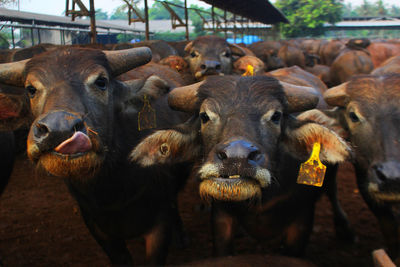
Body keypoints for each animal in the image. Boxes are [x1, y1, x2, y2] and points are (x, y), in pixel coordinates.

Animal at [0, 46, 189, 266]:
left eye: (101, 82)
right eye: (31, 89)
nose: (59, 129)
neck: (113, 190)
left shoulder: (160, 220)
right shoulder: (97, 226)